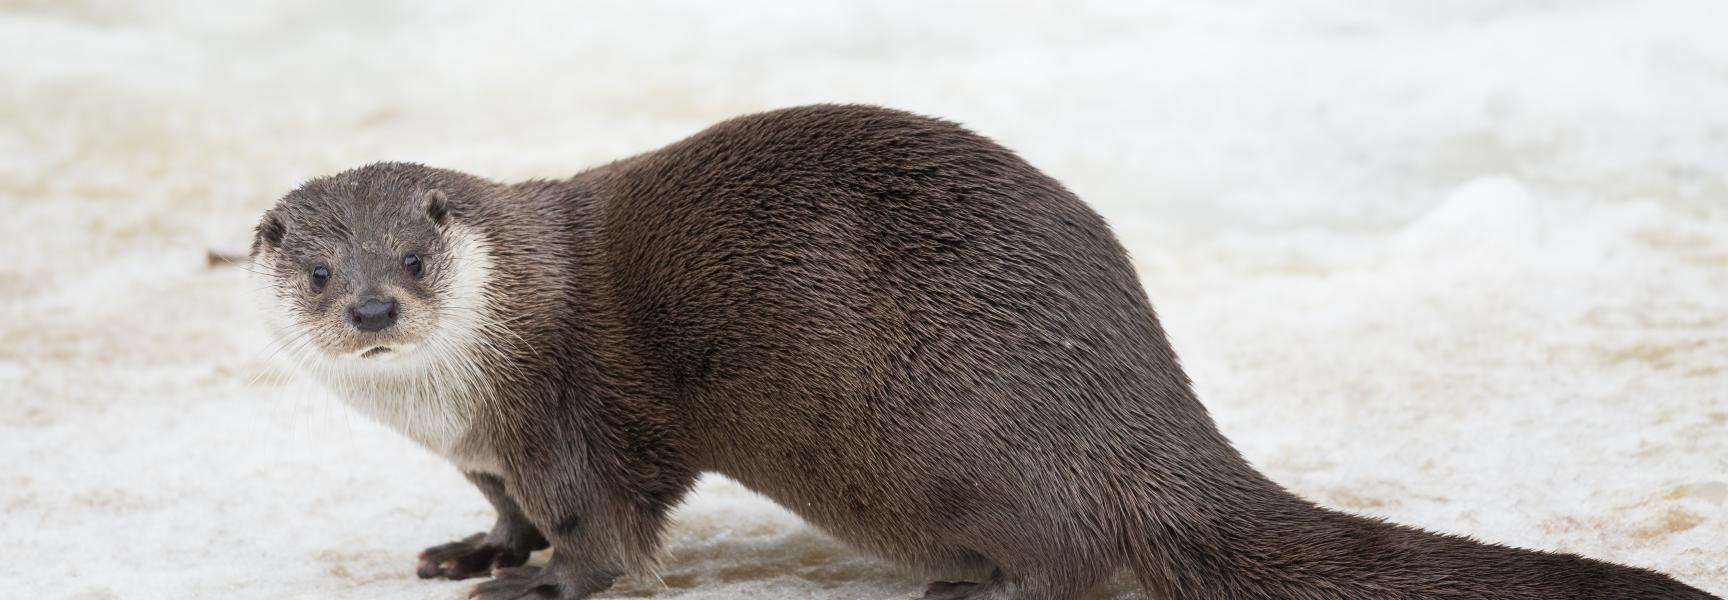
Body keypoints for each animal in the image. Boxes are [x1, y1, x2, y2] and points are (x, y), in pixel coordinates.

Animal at [251, 105, 1715, 600]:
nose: (371, 313)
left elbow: (604, 525)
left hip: (937, 447)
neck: (464, 398)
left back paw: (969, 585)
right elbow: (506, 510)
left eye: (416, 258)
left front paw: (546, 579)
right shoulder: (488, 451)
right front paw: (475, 551)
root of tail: (1150, 416)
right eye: (317, 268)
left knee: (1074, 560)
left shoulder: (573, 413)